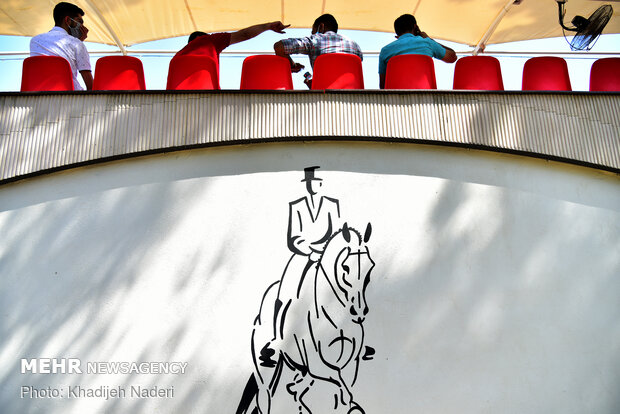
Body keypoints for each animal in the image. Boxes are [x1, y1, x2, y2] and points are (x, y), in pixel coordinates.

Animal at [236, 223, 372, 414]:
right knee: (265, 399)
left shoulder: (351, 363)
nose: (359, 311)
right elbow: (340, 387)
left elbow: (344, 389)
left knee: (295, 390)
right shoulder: (318, 366)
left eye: (370, 268)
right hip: (266, 374)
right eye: (345, 267)